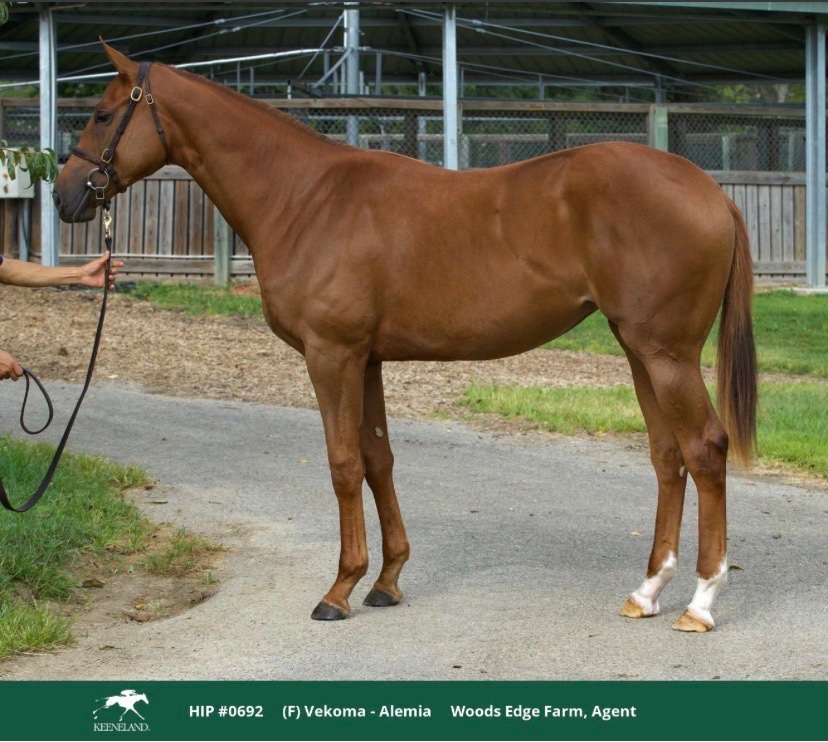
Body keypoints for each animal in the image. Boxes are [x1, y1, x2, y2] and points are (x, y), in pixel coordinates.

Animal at [53, 44, 757, 632]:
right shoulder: (366, 360)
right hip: (640, 351)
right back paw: (646, 592)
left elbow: (343, 464)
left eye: (101, 113)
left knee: (704, 448)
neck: (305, 197)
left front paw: (338, 590)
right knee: (667, 457)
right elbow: (378, 459)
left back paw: (700, 602)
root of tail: (711, 192)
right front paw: (386, 581)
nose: (64, 198)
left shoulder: (331, 355)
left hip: (666, 355)